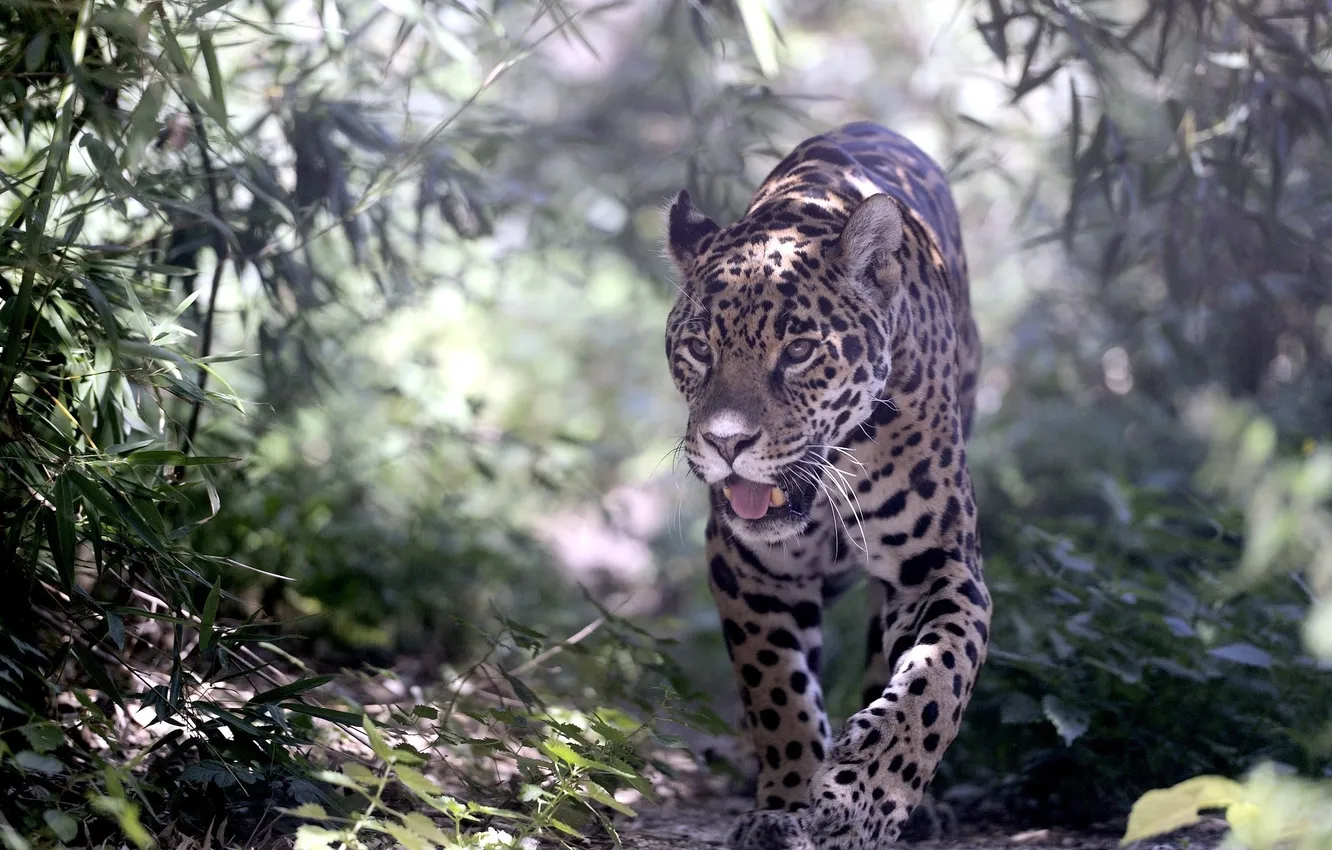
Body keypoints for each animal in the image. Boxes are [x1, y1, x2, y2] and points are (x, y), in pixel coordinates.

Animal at [662, 121, 990, 850]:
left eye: (800, 352)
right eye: (699, 348)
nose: (726, 443)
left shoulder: (942, 564)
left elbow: (935, 683)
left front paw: (869, 799)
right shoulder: (749, 567)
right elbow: (777, 692)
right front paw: (784, 805)